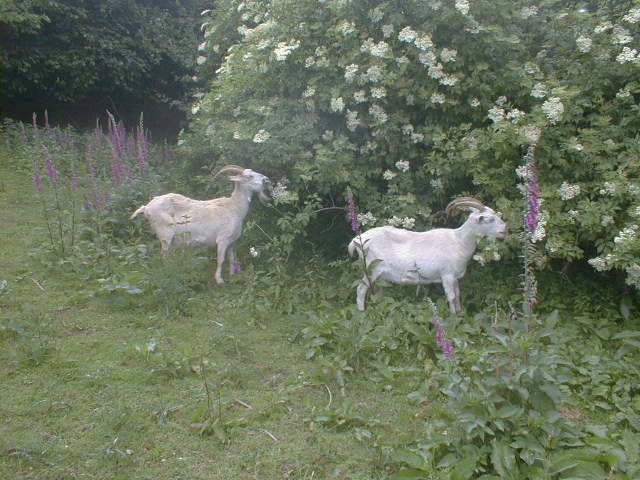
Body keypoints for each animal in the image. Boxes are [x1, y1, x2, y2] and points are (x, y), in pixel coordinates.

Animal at [130, 165, 269, 285]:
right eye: (249, 176)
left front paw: (233, 275)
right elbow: (221, 259)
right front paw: (219, 280)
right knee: (164, 256)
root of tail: (146, 208)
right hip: (165, 234)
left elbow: (232, 258)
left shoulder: (232, 241)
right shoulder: (222, 239)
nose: (265, 178)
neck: (233, 208)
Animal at [348, 197, 507, 313]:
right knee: (360, 290)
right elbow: (451, 297)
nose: (504, 230)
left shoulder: (455, 277)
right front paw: (453, 316)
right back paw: (362, 313)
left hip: (379, 274)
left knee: (378, 291)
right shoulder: (447, 275)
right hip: (371, 268)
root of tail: (357, 240)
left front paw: (460, 313)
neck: (459, 241)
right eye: (490, 219)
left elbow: (457, 296)